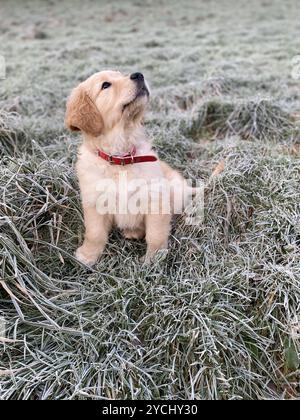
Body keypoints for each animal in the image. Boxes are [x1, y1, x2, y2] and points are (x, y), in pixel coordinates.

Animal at [64, 70, 193, 264]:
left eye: (121, 74)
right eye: (105, 85)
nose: (139, 74)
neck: (121, 158)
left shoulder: (155, 198)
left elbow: (155, 234)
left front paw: (153, 259)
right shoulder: (94, 202)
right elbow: (95, 233)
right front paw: (88, 255)